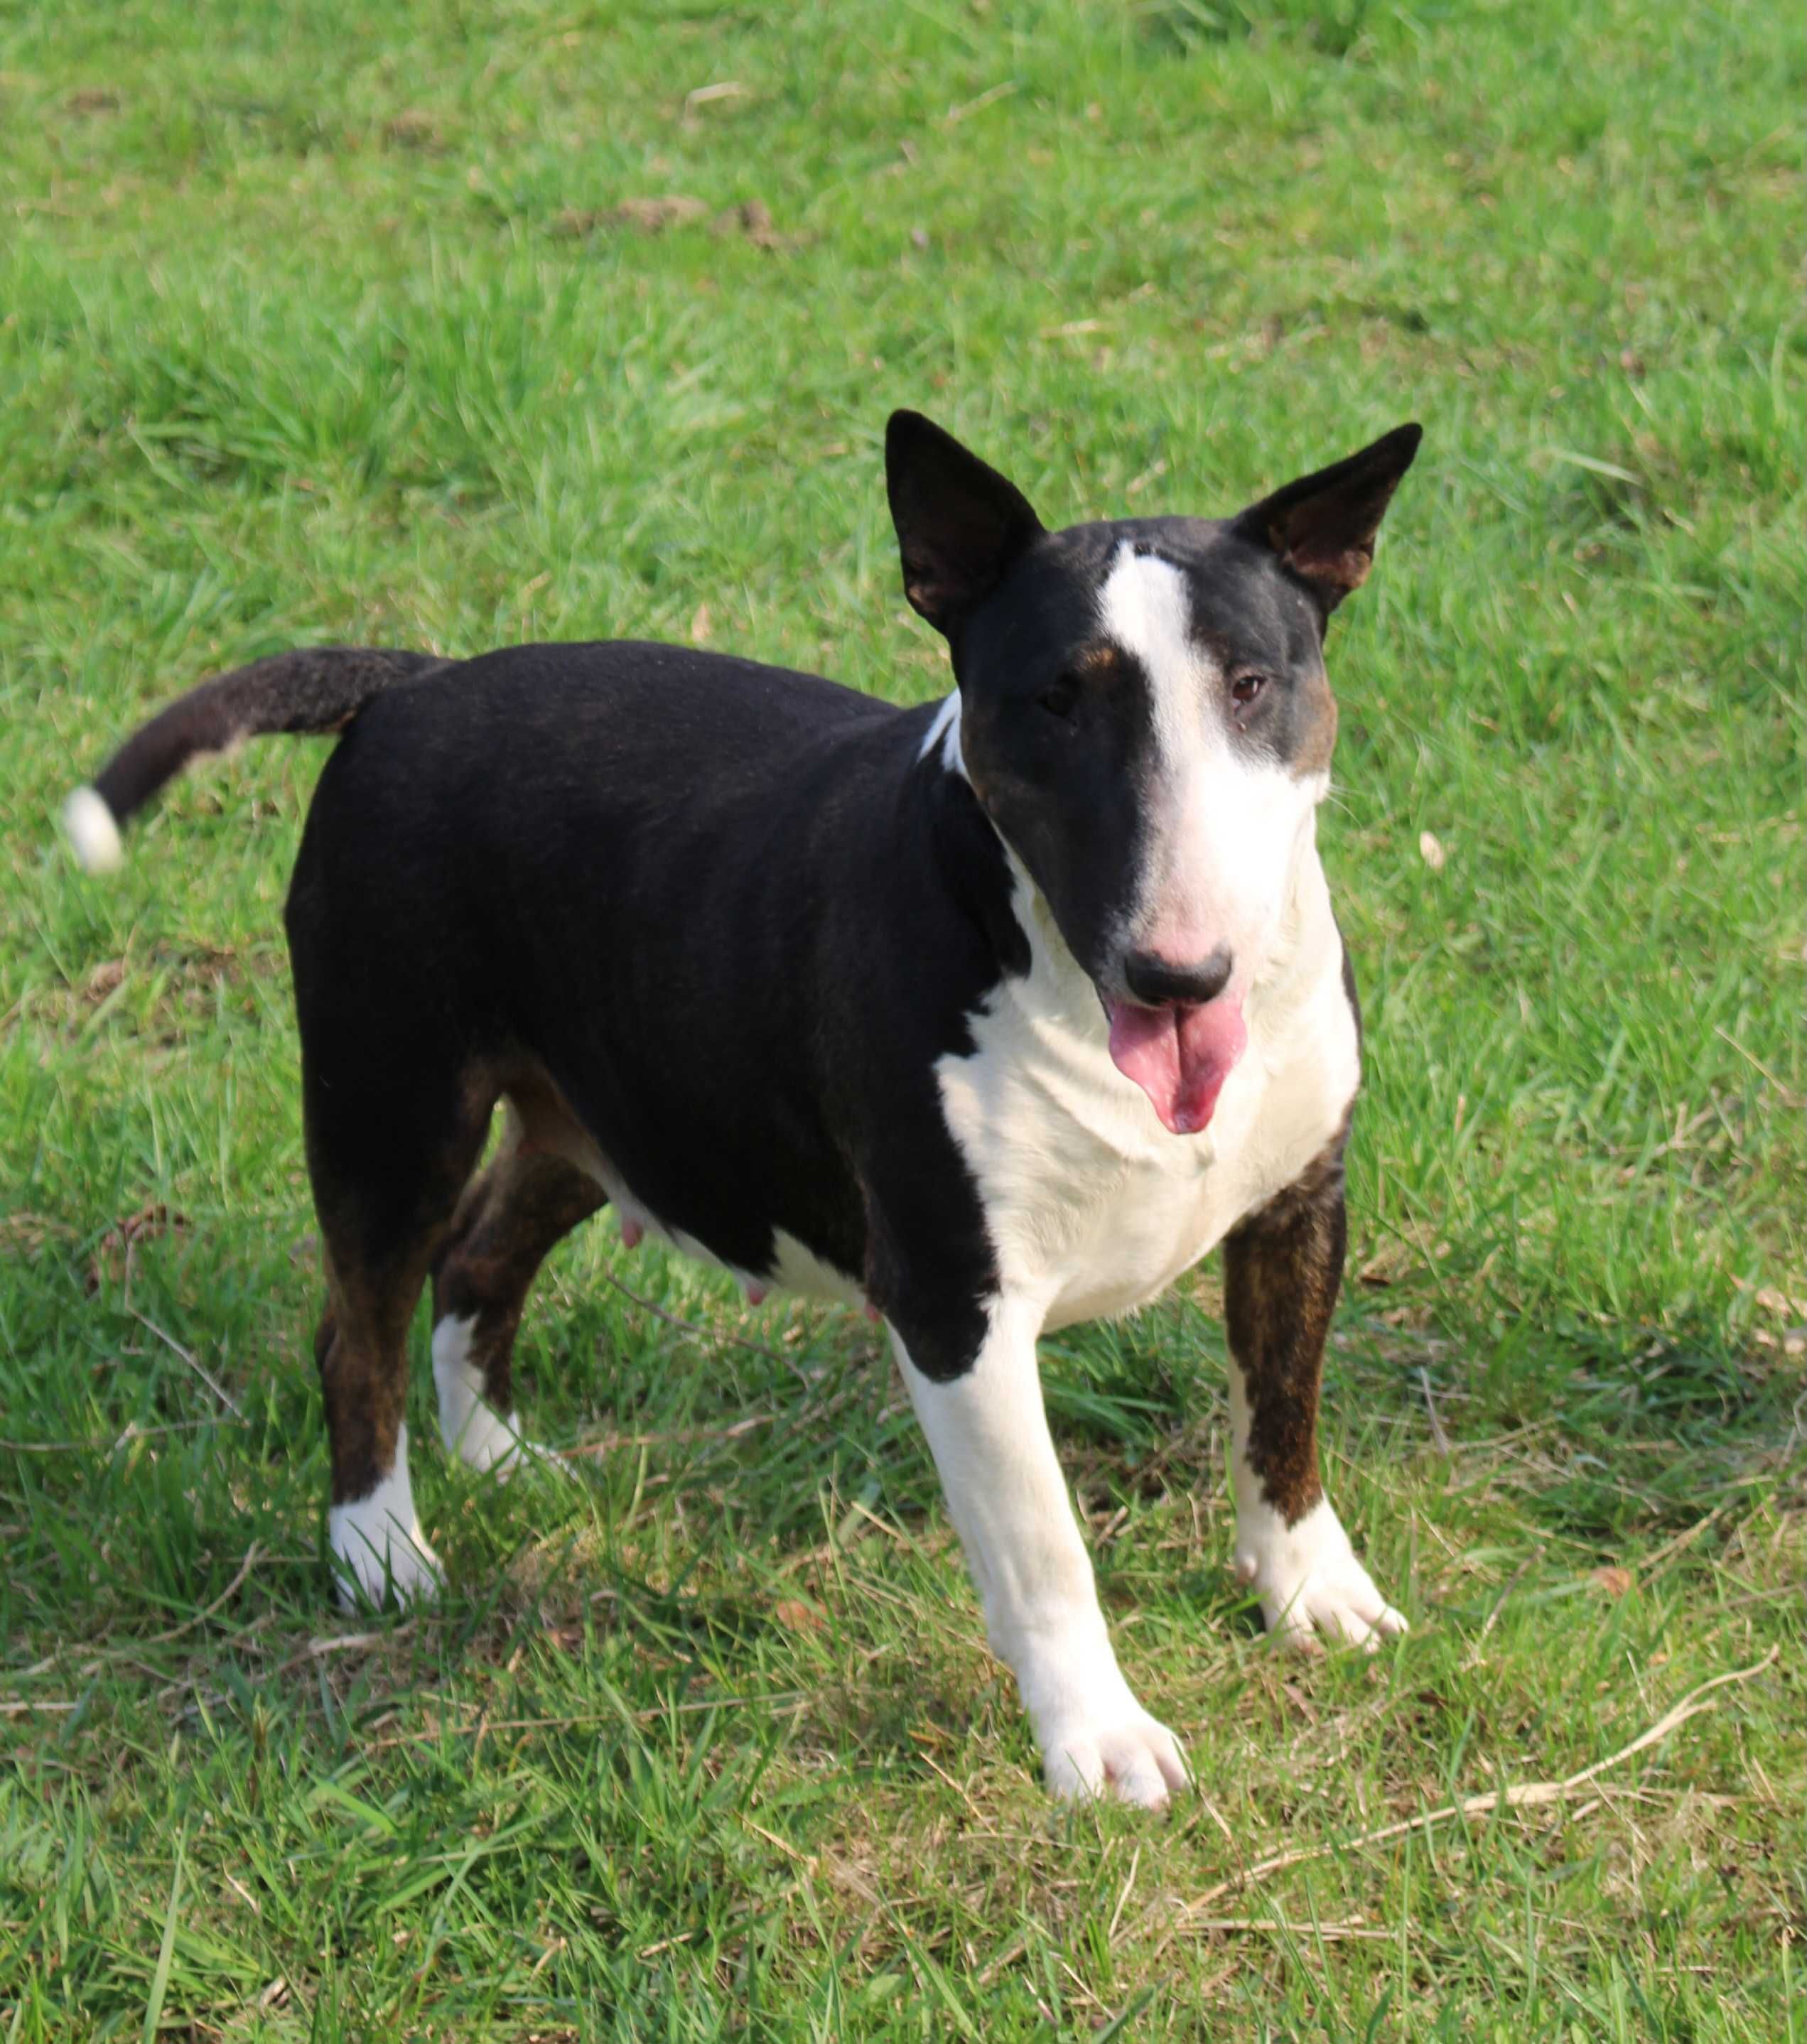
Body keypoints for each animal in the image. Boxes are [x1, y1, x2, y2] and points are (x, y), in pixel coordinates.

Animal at [67, 411, 1423, 1807]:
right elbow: (1042, 1542)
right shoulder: (956, 1298)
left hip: (609, 1100)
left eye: (1250, 684)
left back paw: (498, 1460)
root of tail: (412, 686)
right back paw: (379, 1551)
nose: (1177, 972)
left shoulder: (1299, 1204)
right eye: (1054, 698)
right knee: (359, 1323)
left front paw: (1315, 1597)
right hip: (393, 1095)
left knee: (479, 1256)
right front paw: (1100, 1743)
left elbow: (1282, 1416)